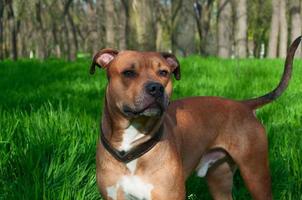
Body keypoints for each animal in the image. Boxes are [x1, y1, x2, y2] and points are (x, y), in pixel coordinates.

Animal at [90, 36, 302, 199]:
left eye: (164, 72)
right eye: (128, 73)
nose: (156, 88)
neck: (131, 144)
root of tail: (243, 105)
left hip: (255, 174)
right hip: (220, 179)